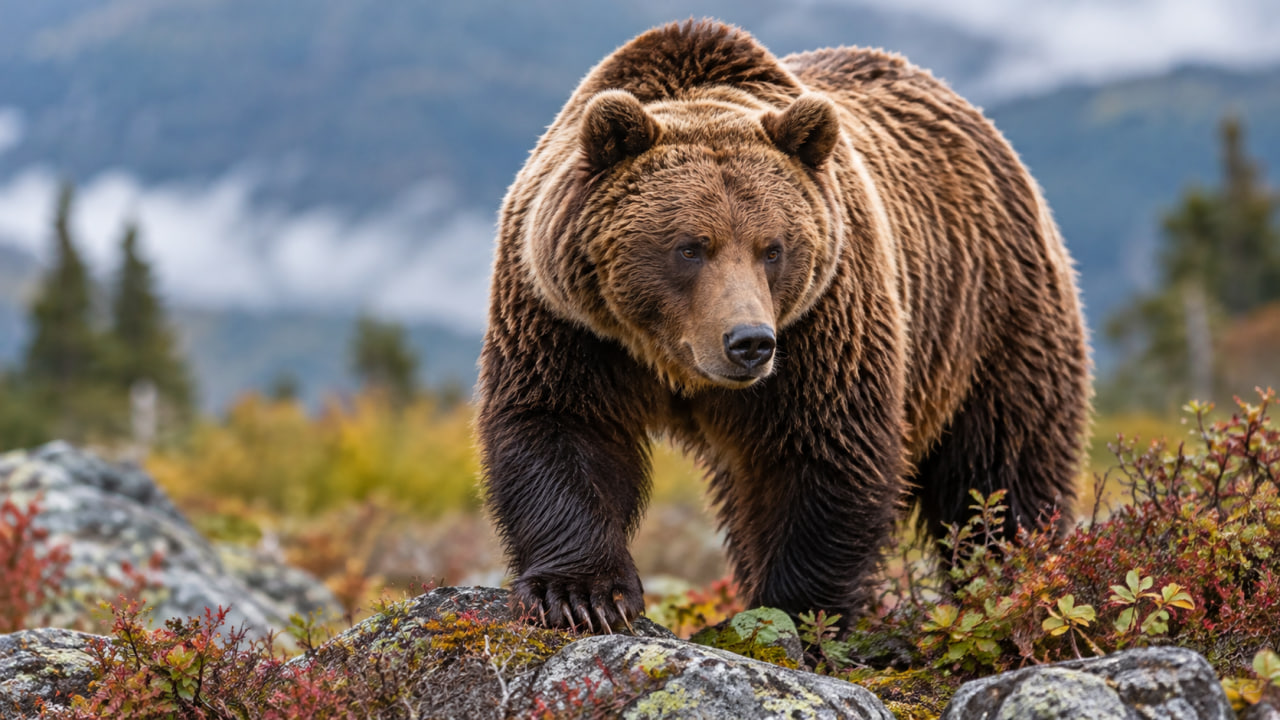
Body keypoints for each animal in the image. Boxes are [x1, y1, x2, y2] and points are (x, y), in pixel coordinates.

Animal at [477, 19, 1090, 632]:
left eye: (773, 248)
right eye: (690, 247)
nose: (750, 342)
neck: (670, 358)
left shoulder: (825, 321)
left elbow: (826, 451)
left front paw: (798, 610)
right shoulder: (566, 318)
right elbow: (560, 425)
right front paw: (582, 595)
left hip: (991, 316)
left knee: (1000, 466)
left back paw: (1013, 574)